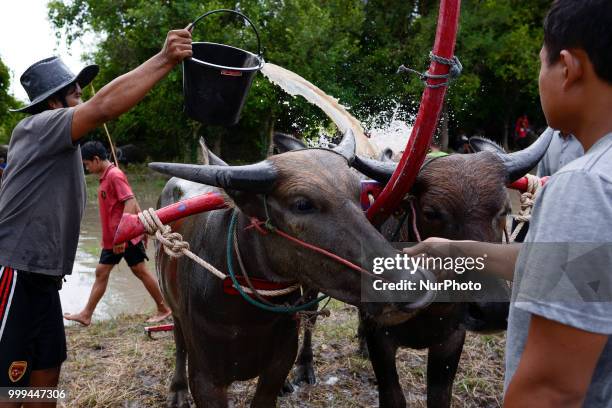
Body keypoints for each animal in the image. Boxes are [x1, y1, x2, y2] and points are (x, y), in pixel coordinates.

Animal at [150, 131, 432, 408]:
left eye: (357, 194)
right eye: (302, 204)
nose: (412, 285)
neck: (247, 316)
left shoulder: (278, 364)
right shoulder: (206, 379)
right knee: (179, 341)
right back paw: (177, 391)